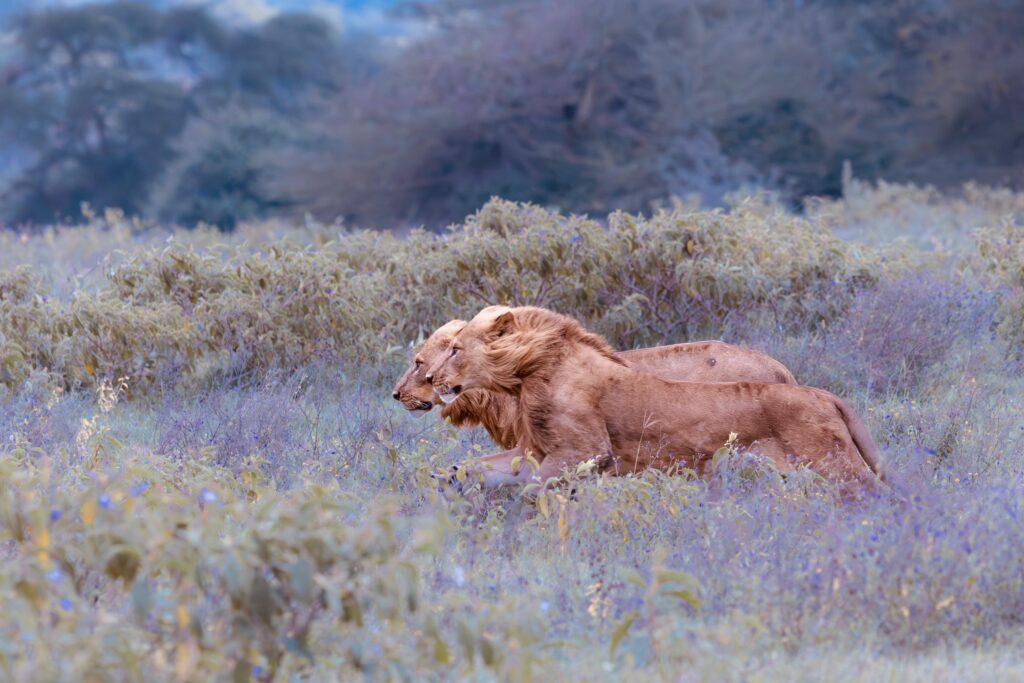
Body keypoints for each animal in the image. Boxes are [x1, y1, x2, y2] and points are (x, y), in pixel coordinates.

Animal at [426, 305, 884, 494]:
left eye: (455, 349)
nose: (429, 378)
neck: (528, 375)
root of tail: (824, 394)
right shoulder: (537, 449)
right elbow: (482, 466)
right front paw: (448, 483)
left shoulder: (588, 451)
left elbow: (532, 488)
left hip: (837, 466)